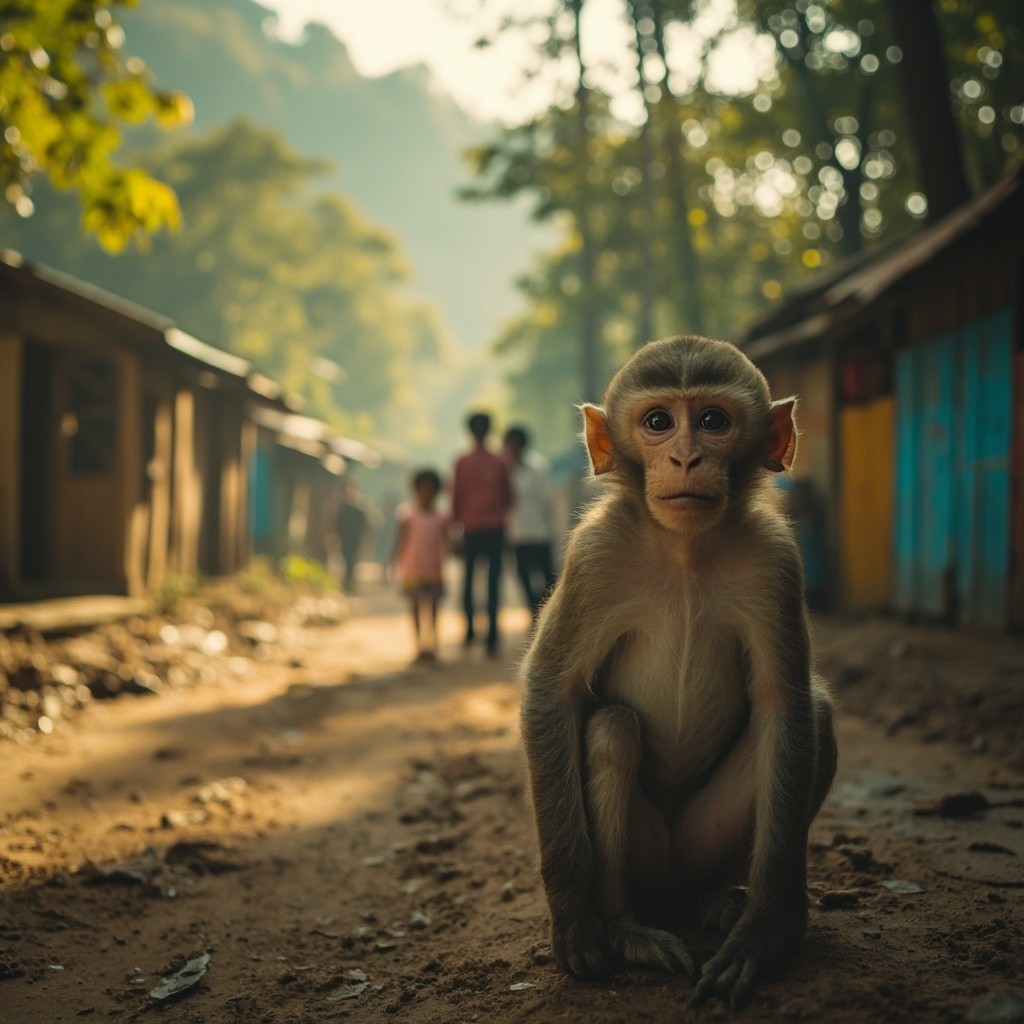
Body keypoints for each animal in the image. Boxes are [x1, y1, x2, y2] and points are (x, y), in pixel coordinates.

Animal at [519, 335, 837, 1010]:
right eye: (659, 422)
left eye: (713, 421)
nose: (686, 458)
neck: (685, 548)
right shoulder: (594, 556)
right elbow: (552, 692)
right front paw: (575, 923)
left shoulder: (776, 561)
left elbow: (785, 704)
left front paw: (768, 932)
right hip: (646, 858)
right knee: (613, 727)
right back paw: (624, 926)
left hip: (701, 842)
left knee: (815, 717)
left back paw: (718, 900)